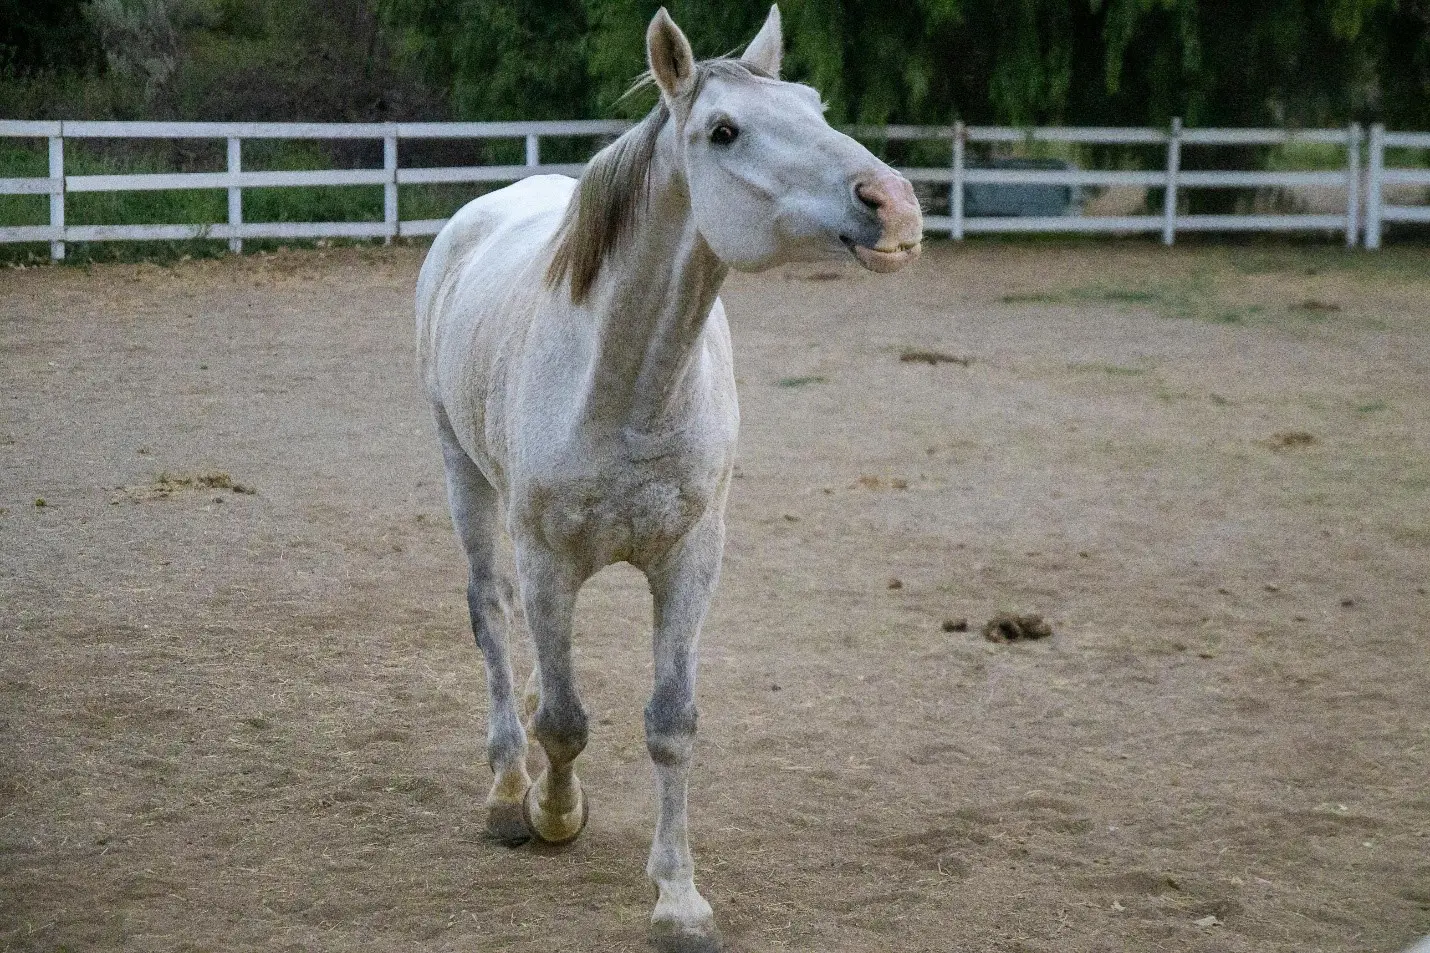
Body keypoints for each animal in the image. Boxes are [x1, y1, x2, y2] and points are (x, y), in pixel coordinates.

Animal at [414, 6, 921, 950]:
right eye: (723, 131)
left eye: (814, 104)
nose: (895, 204)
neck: (626, 390)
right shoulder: (548, 561)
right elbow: (566, 720)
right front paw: (554, 812)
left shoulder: (691, 560)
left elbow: (670, 724)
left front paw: (679, 896)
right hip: (464, 475)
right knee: (493, 619)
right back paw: (506, 789)